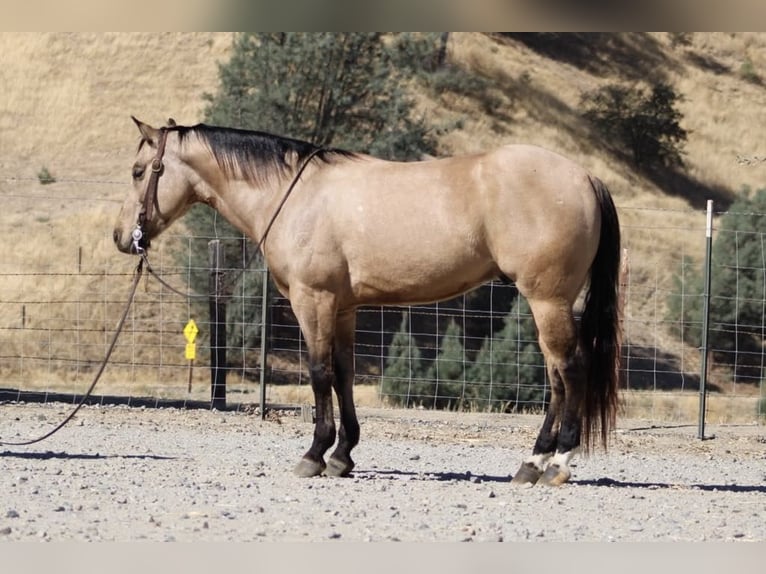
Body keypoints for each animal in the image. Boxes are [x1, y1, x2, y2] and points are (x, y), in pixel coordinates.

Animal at [114, 117, 621, 486]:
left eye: (139, 171)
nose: (122, 237)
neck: (294, 195)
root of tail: (586, 176)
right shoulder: (343, 308)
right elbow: (343, 374)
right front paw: (343, 456)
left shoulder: (313, 301)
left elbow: (319, 373)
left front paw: (315, 454)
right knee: (557, 377)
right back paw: (532, 464)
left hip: (547, 300)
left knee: (570, 371)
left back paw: (555, 463)